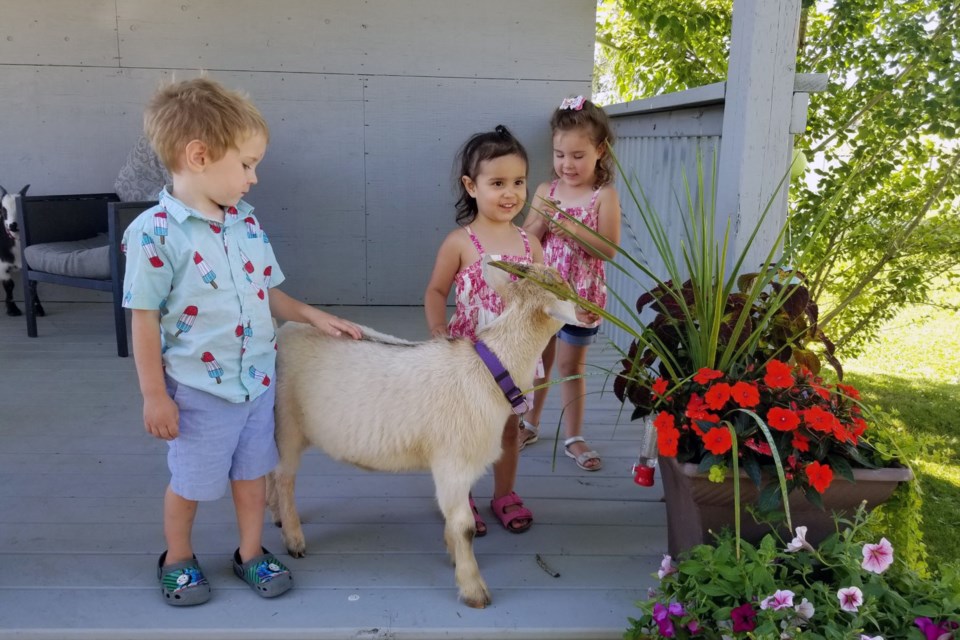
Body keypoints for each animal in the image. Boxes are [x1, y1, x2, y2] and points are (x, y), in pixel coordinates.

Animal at [264, 262, 576, 608]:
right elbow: (464, 525)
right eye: (567, 290)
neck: (488, 371)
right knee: (284, 477)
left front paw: (453, 555)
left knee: (271, 471)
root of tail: (282, 333)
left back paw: (276, 516)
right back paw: (293, 538)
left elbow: (453, 520)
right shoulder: (454, 462)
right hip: (287, 423)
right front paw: (474, 589)